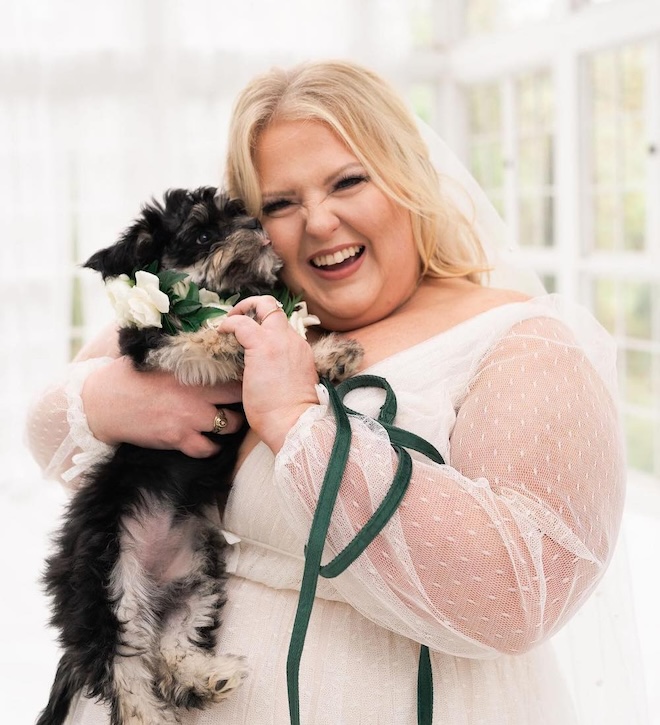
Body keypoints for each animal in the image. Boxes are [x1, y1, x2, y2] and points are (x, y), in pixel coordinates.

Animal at [37, 188, 360, 724]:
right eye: (204, 234)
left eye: (243, 214)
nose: (256, 226)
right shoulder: (149, 344)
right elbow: (192, 338)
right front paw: (233, 337)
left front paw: (327, 355)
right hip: (110, 582)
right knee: (122, 668)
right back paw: (150, 712)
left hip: (197, 577)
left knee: (173, 645)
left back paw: (207, 677)